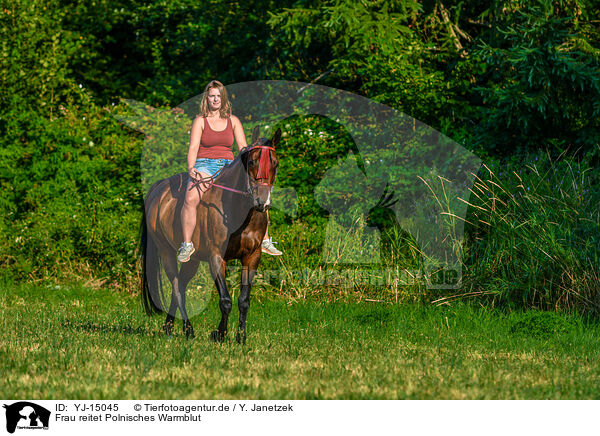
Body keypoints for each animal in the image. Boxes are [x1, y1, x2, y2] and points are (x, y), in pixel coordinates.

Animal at [141, 127, 282, 344]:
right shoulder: (216, 257)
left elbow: (244, 300)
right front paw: (220, 334)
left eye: (275, 163)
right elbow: (225, 300)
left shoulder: (252, 257)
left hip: (192, 261)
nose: (262, 201)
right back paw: (188, 330)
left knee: (180, 286)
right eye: (251, 161)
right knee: (177, 288)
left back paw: (169, 327)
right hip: (166, 252)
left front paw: (241, 337)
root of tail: (159, 188)